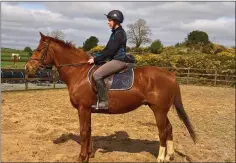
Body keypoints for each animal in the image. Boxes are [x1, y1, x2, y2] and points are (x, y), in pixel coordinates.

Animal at [24, 32, 196, 162]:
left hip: (158, 110)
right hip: (162, 110)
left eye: (39, 49)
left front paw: (81, 157)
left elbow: (84, 131)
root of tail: (171, 75)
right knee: (169, 128)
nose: (28, 67)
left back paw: (160, 158)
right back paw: (169, 156)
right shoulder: (88, 110)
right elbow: (89, 130)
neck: (79, 73)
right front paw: (89, 154)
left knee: (162, 131)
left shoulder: (83, 108)